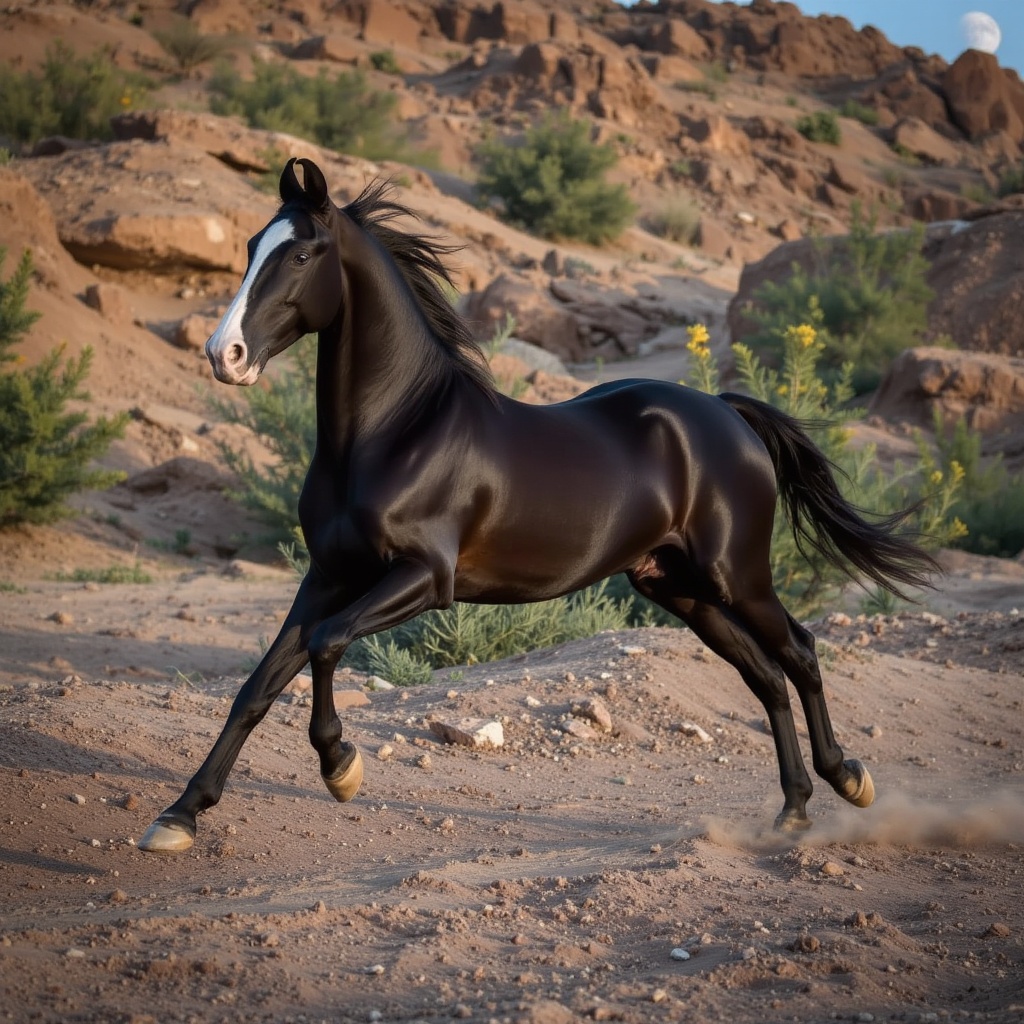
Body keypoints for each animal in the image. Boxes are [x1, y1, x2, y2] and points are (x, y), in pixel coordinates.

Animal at [138, 158, 937, 853]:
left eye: (302, 254)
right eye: (250, 248)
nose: (224, 355)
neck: (394, 432)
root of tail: (725, 412)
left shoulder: (424, 580)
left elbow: (326, 645)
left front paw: (341, 768)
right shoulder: (328, 576)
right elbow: (258, 685)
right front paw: (179, 816)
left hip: (735, 575)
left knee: (799, 652)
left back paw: (849, 780)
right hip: (677, 587)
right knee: (764, 676)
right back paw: (793, 810)